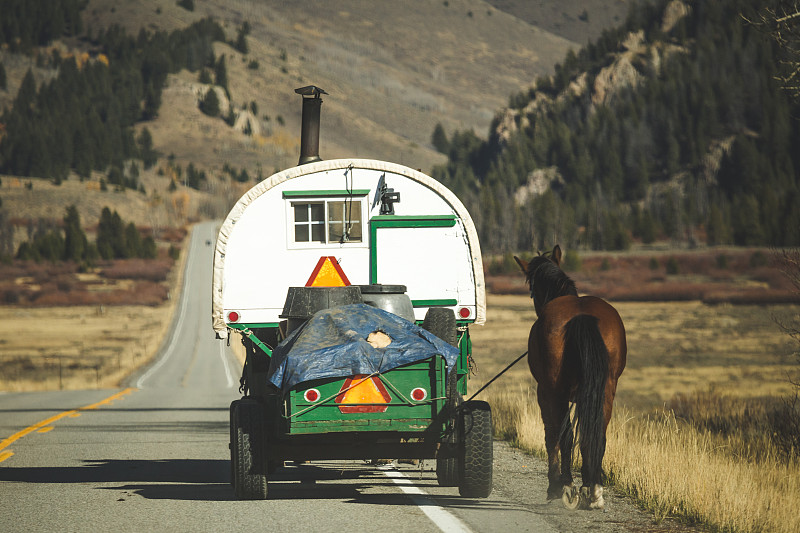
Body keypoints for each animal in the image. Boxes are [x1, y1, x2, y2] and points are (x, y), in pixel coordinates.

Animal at [516, 244, 628, 508]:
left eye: (532, 289)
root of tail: (581, 315)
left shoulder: (545, 393)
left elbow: (553, 434)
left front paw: (556, 485)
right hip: (606, 389)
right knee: (597, 434)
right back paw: (594, 488)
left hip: (554, 391)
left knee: (563, 434)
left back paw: (566, 485)